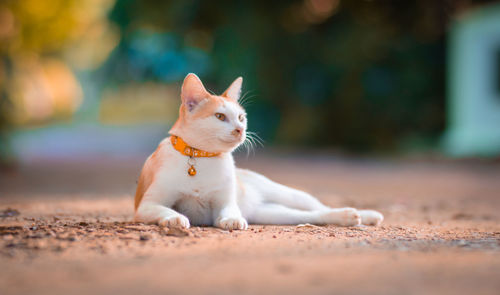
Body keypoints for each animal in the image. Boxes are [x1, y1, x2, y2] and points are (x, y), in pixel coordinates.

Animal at [133, 74, 382, 231]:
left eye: (241, 117)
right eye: (220, 117)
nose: (240, 129)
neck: (200, 158)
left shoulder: (226, 202)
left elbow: (230, 211)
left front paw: (232, 220)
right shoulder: (145, 206)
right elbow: (166, 210)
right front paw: (175, 219)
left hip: (289, 195)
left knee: (320, 207)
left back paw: (362, 215)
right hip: (274, 214)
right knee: (311, 216)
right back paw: (352, 217)